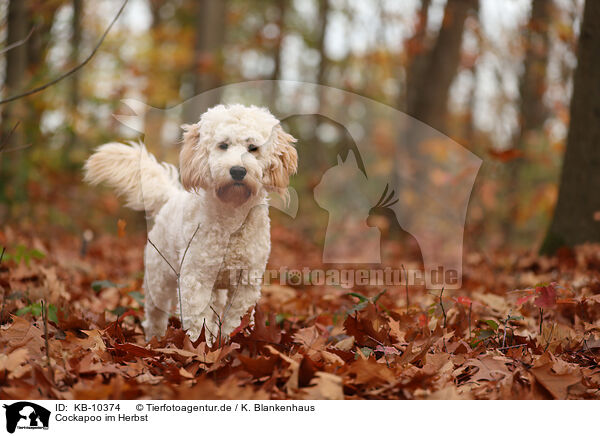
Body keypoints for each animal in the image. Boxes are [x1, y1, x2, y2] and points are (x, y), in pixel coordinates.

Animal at [84, 104, 298, 344]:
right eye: (223, 145)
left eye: (253, 148)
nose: (237, 170)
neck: (232, 214)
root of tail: (170, 196)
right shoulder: (197, 279)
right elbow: (198, 320)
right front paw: (197, 346)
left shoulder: (246, 283)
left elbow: (235, 319)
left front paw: (232, 341)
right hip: (159, 276)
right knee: (155, 313)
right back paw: (155, 339)